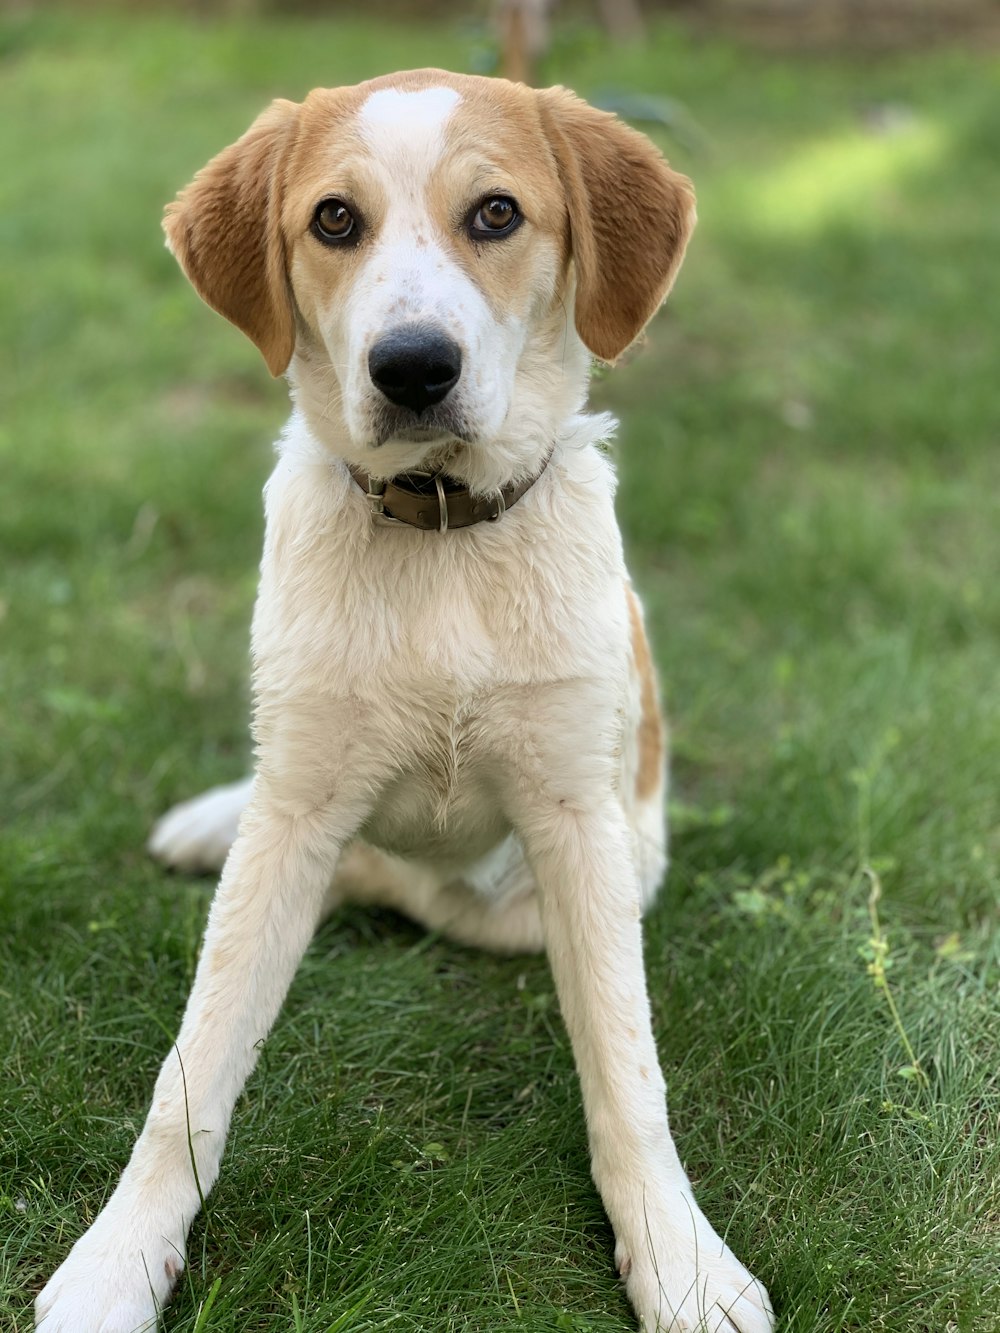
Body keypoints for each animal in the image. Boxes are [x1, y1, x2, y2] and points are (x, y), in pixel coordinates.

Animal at [37, 72, 773, 1333]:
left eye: (496, 213)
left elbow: (627, 1074)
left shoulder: (578, 826)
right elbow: (191, 1069)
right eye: (334, 219)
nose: (412, 368)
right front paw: (116, 1263)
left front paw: (680, 1259)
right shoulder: (295, 809)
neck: (438, 534)